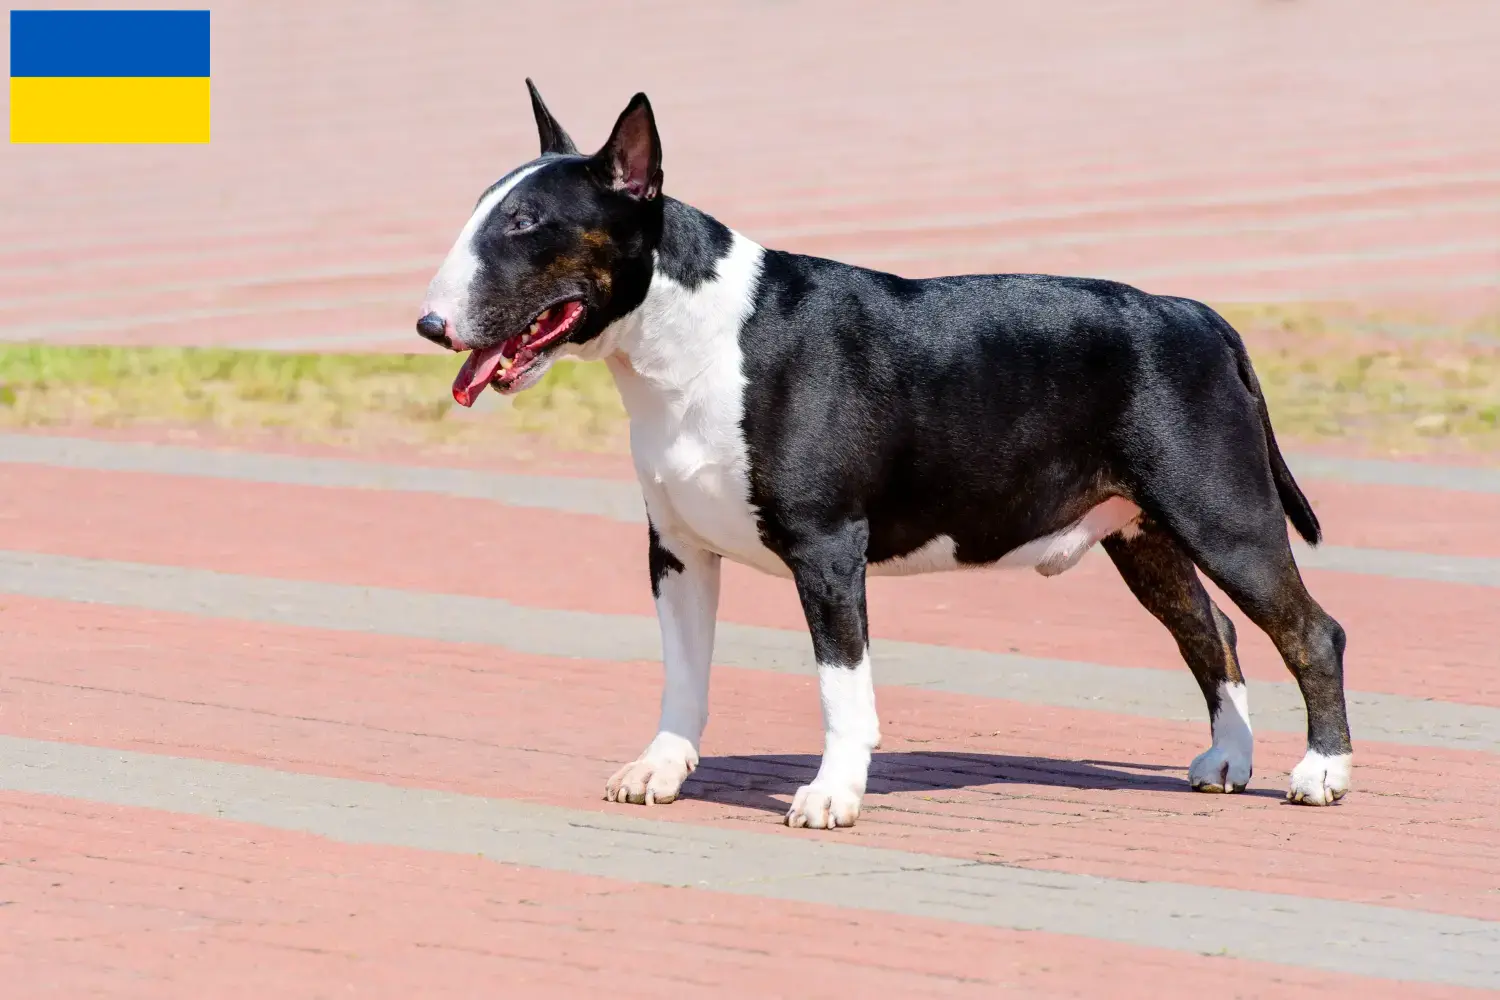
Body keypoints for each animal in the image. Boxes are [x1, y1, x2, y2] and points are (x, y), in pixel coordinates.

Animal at [417, 82, 1356, 827]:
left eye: (528, 223)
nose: (428, 324)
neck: (691, 340)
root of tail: (1203, 316)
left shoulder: (828, 547)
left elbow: (843, 686)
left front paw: (831, 795)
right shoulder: (676, 551)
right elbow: (683, 672)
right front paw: (659, 768)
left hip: (1221, 513)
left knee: (1310, 629)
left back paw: (1322, 773)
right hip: (1143, 531)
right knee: (1213, 631)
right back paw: (1228, 761)